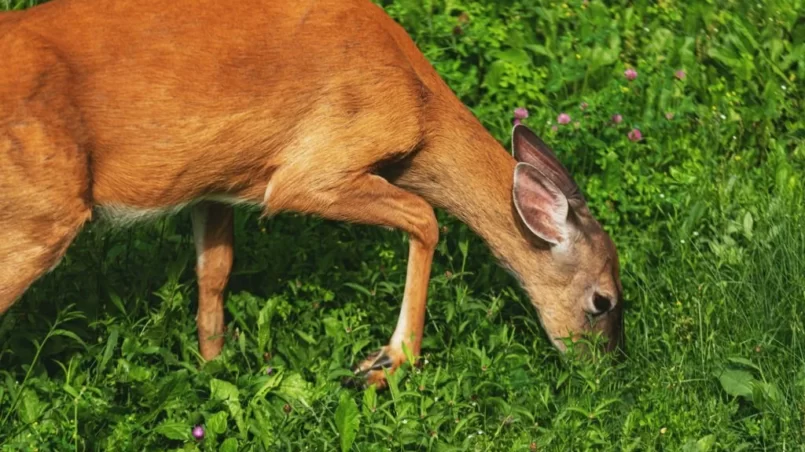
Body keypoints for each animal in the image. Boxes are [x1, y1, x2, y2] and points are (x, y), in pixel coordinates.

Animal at [1, 0, 620, 386]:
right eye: (605, 302)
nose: (605, 372)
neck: (420, 109)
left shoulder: (215, 181)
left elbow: (215, 271)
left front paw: (212, 369)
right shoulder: (310, 169)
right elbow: (426, 216)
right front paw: (388, 363)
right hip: (41, 213)